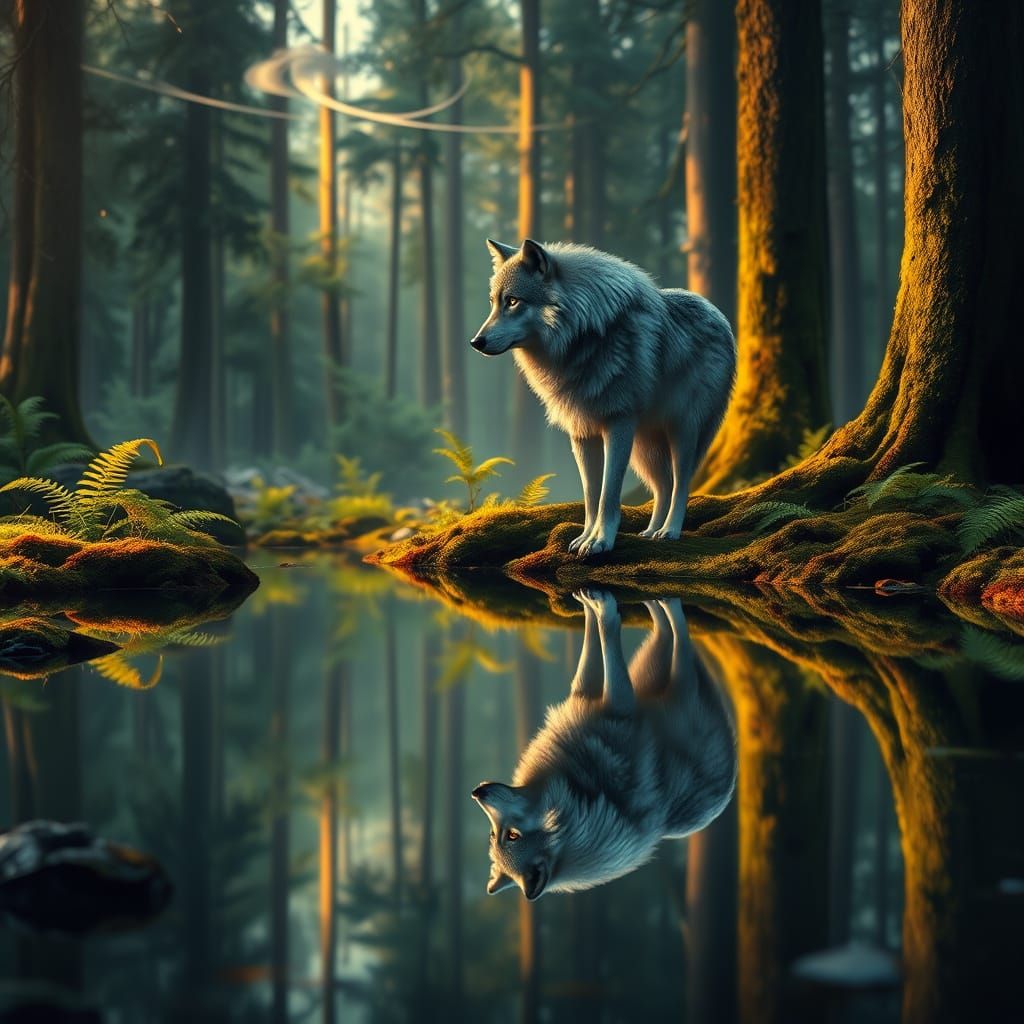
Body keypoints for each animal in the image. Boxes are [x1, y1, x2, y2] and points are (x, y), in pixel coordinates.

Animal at [470, 239, 736, 555]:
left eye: (512, 301)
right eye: (493, 302)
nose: (475, 342)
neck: (580, 339)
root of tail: (718, 314)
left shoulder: (617, 425)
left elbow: (608, 494)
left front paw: (601, 541)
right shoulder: (582, 433)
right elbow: (591, 495)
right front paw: (586, 537)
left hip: (680, 431)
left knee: (681, 484)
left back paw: (670, 531)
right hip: (644, 447)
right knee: (663, 486)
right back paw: (651, 531)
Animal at [472, 590, 736, 900]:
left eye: (510, 835)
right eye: (496, 834)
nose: (476, 792)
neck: (580, 792)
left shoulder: (601, 701)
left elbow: (597, 643)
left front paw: (593, 605)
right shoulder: (607, 704)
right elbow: (601, 644)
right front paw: (600, 607)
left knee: (672, 632)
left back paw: (659, 603)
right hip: (667, 677)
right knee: (669, 633)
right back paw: (661, 604)